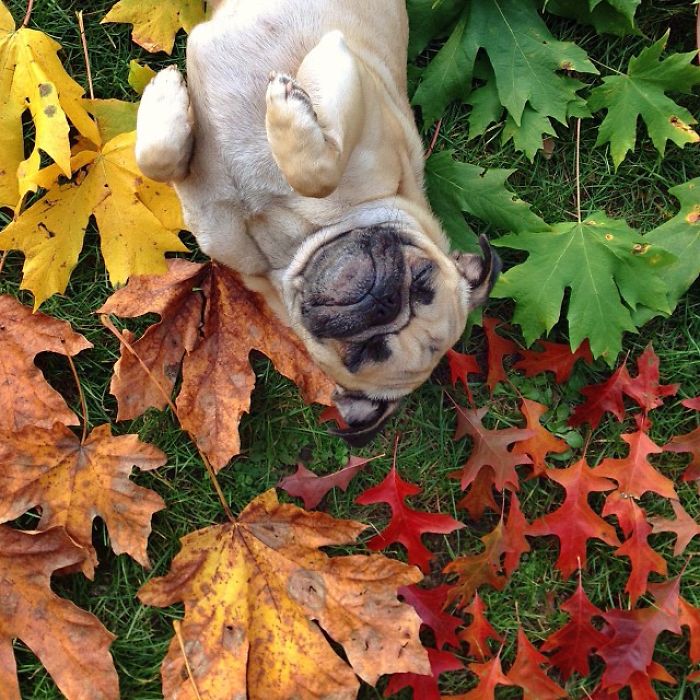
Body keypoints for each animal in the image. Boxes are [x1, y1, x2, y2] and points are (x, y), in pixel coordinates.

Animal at [135, 0, 498, 446]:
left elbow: (314, 172)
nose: (384, 302)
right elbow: (156, 159)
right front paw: (167, 95)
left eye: (364, 353)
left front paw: (285, 109)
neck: (295, 241)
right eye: (422, 279)